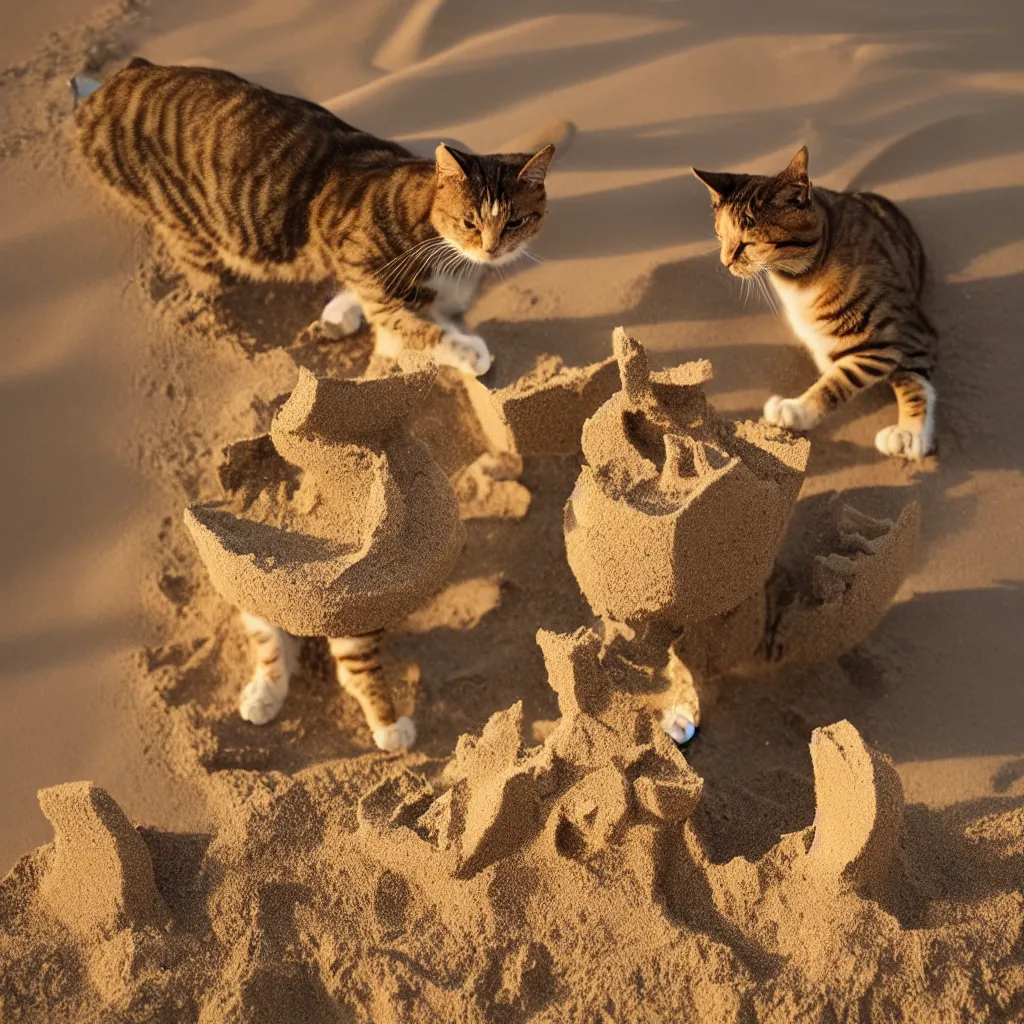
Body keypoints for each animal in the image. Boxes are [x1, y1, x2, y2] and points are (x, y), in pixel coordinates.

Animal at [75, 57, 557, 376]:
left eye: (515, 222)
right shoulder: (360, 262)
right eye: (469, 222)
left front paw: (343, 314)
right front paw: (465, 351)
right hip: (182, 226)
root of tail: (111, 86)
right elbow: (404, 324)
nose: (492, 249)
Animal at [692, 146, 937, 458]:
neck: (802, 274)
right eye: (720, 236)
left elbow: (840, 381)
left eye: (748, 243)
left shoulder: (894, 335)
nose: (724, 263)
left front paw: (795, 410)